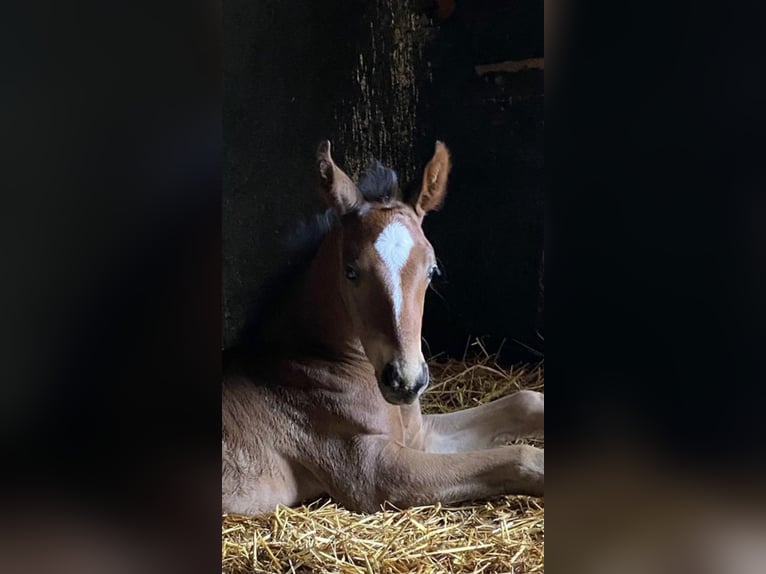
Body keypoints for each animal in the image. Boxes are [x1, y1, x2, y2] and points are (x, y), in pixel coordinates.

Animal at [222, 141, 544, 516]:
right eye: (350, 271)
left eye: (432, 270)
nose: (405, 381)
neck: (312, 362)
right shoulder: (373, 471)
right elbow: (520, 456)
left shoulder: (419, 434)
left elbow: (523, 402)